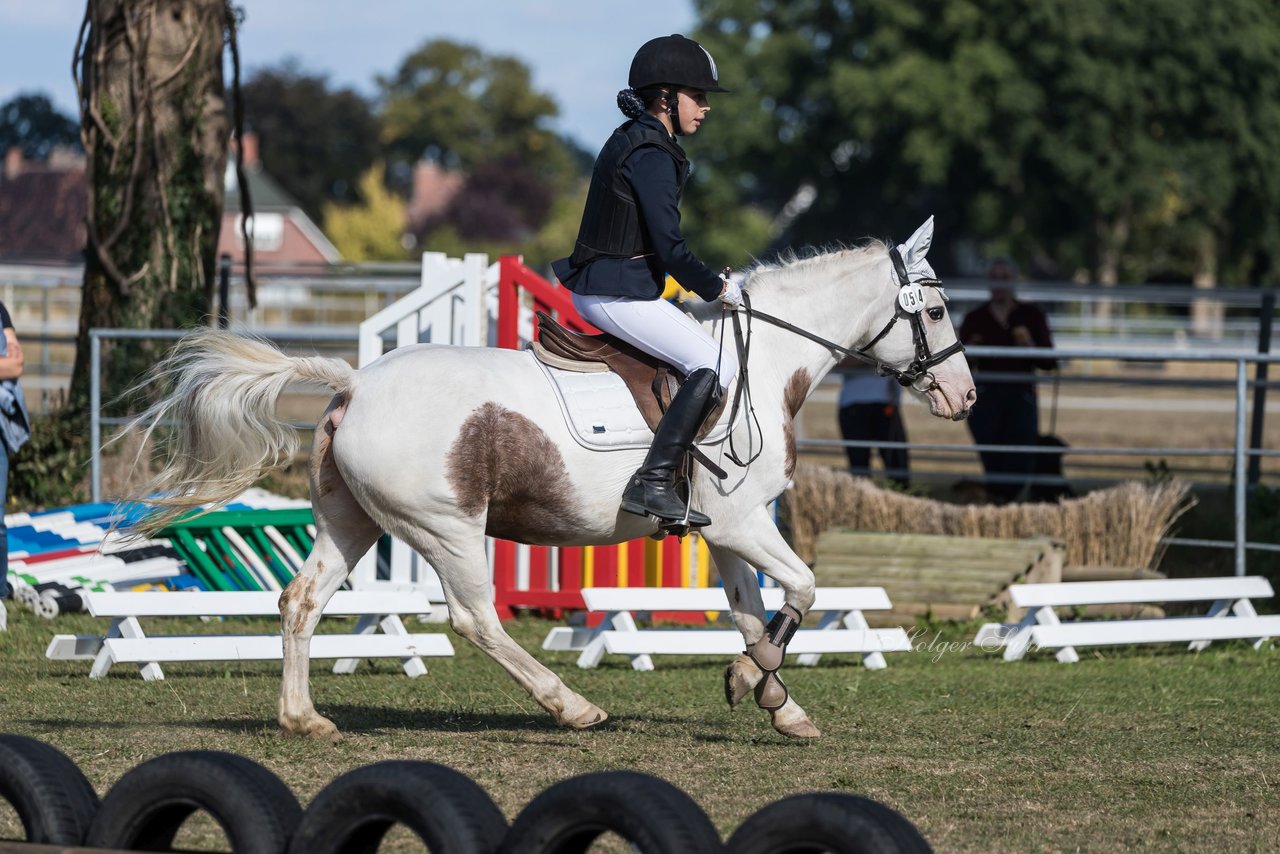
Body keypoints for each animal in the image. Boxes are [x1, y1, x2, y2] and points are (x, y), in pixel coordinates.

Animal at [129, 218, 967, 742]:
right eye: (936, 309)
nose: (963, 397)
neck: (758, 365)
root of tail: (356, 382)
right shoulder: (741, 523)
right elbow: (803, 588)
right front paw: (753, 683)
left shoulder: (729, 532)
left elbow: (752, 612)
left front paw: (772, 700)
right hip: (447, 527)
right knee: (476, 619)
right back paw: (572, 707)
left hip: (350, 522)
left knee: (302, 600)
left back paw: (302, 719)